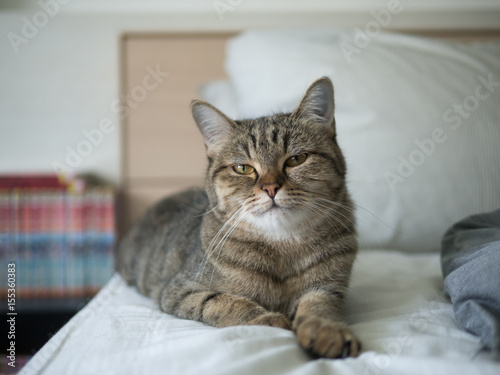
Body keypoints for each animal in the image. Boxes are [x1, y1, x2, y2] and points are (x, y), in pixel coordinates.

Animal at [116, 76, 360, 358]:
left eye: (296, 159)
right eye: (243, 168)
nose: (271, 187)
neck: (282, 248)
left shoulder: (329, 287)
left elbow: (320, 304)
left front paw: (328, 330)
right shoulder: (180, 291)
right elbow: (226, 302)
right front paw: (268, 318)